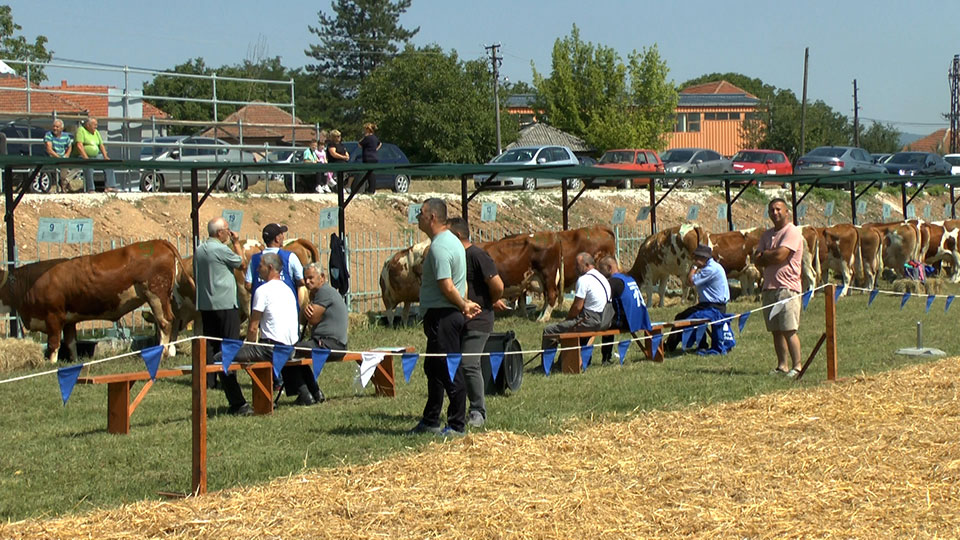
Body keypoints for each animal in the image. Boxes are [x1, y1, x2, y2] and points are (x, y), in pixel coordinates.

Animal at [0, 239, 192, 362]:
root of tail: (158, 242)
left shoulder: (53, 316)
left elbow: (53, 343)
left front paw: (51, 362)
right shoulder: (69, 320)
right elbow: (70, 342)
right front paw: (74, 361)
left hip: (156, 296)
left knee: (165, 322)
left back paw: (163, 352)